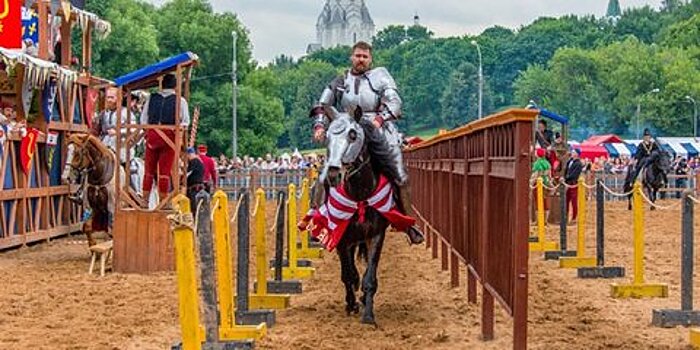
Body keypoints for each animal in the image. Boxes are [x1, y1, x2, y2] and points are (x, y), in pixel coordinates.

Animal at [324, 108, 392, 324]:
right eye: (327, 137)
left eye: (353, 135)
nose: (334, 174)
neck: (360, 195)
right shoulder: (341, 238)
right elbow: (347, 275)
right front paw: (351, 304)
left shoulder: (376, 235)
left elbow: (369, 278)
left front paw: (368, 315)